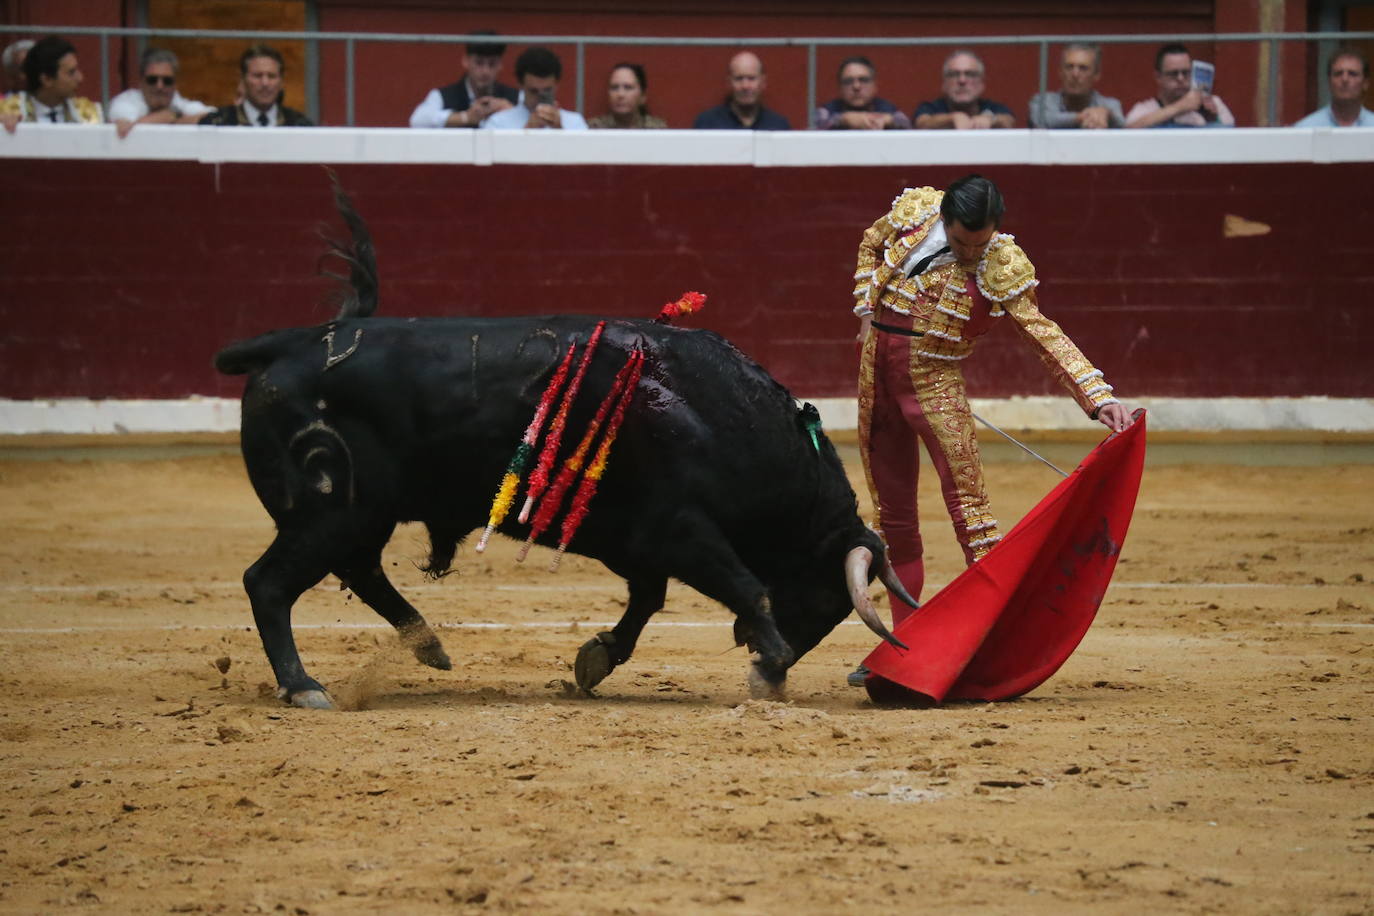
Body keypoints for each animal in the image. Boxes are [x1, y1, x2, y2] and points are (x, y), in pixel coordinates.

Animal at [217, 186, 912, 708]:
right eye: (824, 596)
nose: (774, 674)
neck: (722, 416)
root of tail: (285, 342)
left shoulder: (641, 538)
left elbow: (649, 599)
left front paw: (596, 659)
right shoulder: (681, 528)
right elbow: (744, 586)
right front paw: (767, 661)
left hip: (361, 515)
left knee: (356, 570)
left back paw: (428, 646)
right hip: (333, 508)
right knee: (268, 583)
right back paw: (305, 686)